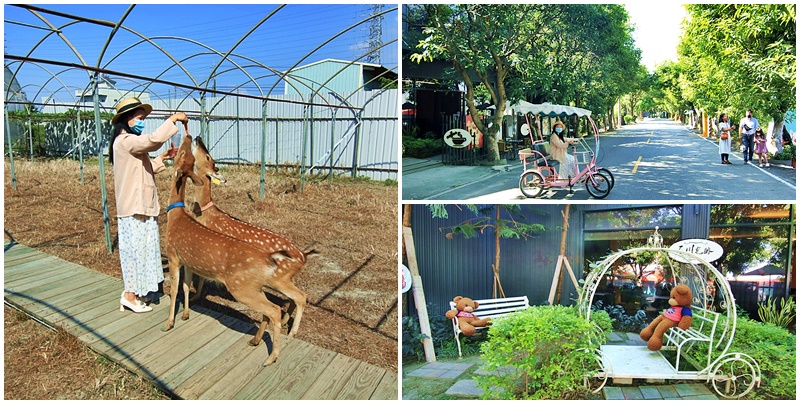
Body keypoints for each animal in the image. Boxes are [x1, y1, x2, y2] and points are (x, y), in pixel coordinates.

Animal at [164, 136, 290, 366]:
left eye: (182, 155)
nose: (191, 137)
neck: (175, 216)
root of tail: (269, 258)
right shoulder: (188, 260)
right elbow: (186, 287)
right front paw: (185, 314)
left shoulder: (174, 255)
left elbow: (175, 289)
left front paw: (169, 323)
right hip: (254, 287)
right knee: (270, 310)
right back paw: (255, 341)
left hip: (241, 287)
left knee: (275, 310)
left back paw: (271, 358)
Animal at [189, 136, 310, 338]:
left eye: (208, 157)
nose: (198, 138)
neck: (206, 214)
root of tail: (303, 256)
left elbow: (201, 276)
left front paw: (194, 296)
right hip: (283, 278)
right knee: (293, 298)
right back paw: (286, 322)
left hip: (279, 277)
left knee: (301, 296)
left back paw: (292, 332)